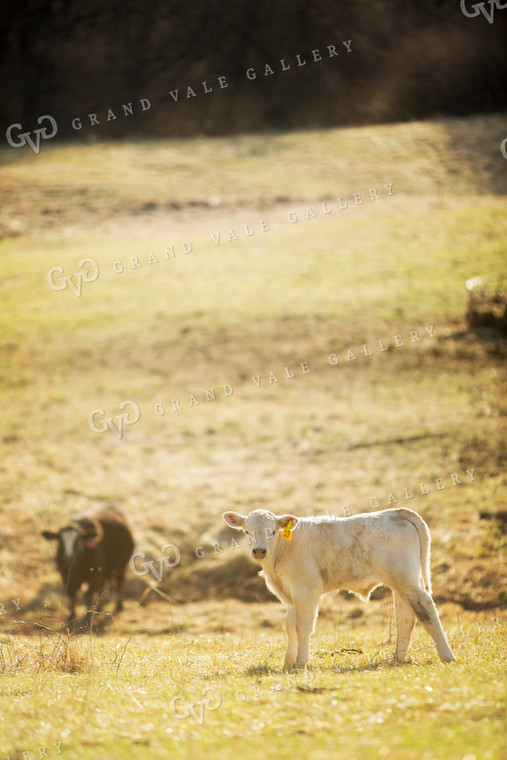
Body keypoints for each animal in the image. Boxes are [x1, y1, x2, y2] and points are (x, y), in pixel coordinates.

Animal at [224, 508, 454, 668]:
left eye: (272, 531)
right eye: (247, 532)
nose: (259, 551)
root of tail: (397, 512)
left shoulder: (306, 589)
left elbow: (303, 627)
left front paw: (300, 663)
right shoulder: (289, 596)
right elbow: (290, 627)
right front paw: (287, 663)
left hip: (405, 580)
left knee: (424, 607)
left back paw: (446, 656)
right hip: (401, 582)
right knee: (406, 616)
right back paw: (398, 658)